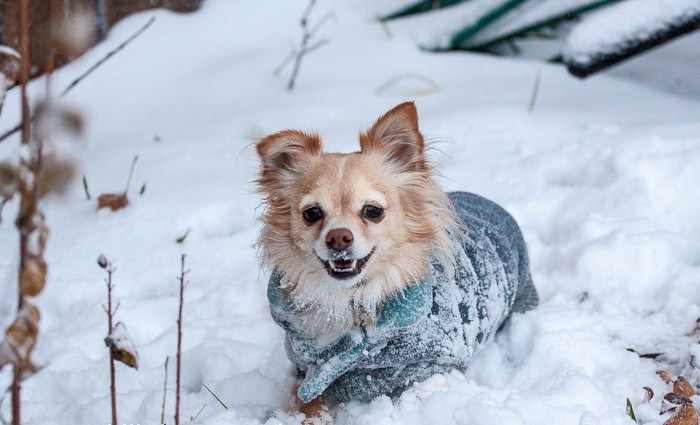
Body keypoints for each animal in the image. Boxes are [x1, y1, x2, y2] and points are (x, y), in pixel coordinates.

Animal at [254, 101, 540, 410]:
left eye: (372, 211)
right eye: (312, 213)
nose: (338, 237)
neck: (351, 301)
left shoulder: (436, 367)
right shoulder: (305, 373)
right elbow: (308, 403)